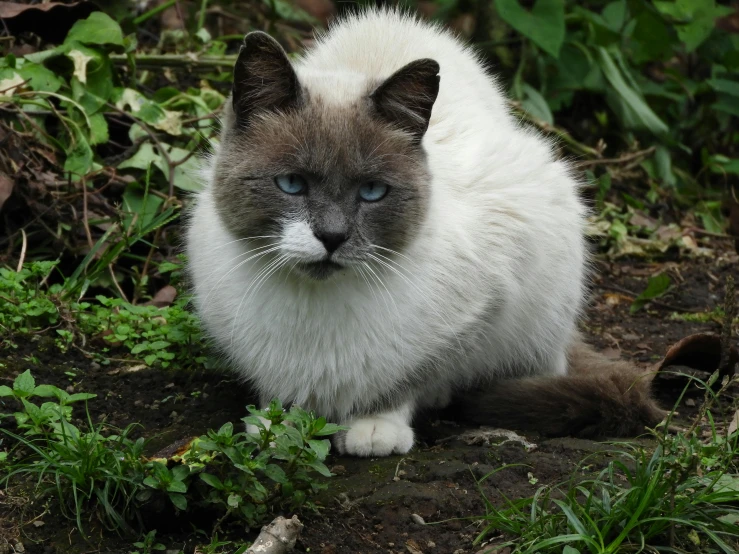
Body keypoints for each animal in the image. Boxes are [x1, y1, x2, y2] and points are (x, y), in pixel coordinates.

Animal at [185, 8, 664, 454]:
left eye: (372, 192)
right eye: (291, 184)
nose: (332, 238)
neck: (315, 308)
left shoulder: (484, 300)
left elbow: (410, 375)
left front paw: (374, 426)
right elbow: (277, 390)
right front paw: (277, 425)